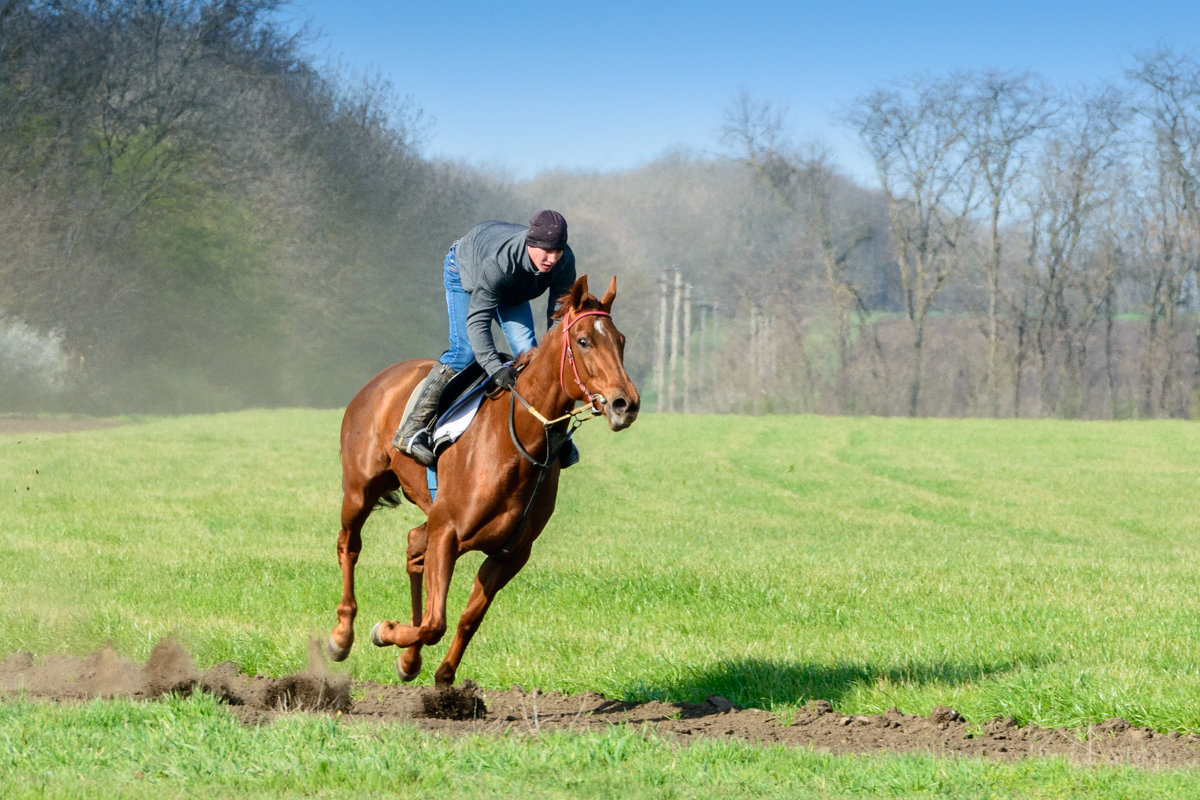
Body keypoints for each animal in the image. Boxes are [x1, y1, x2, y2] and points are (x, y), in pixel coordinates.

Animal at [319, 275, 638, 690]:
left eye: (621, 340)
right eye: (583, 341)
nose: (625, 403)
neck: (517, 441)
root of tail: (381, 378)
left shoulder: (510, 551)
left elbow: (466, 618)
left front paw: (437, 672)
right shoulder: (448, 533)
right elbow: (435, 622)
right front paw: (386, 631)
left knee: (413, 546)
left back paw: (407, 656)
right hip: (360, 489)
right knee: (349, 546)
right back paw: (342, 635)